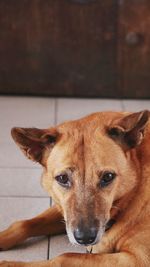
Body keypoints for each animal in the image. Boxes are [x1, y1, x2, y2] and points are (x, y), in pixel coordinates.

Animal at [0, 110, 150, 266]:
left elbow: (63, 257)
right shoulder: (64, 211)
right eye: (62, 178)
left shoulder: (136, 259)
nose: (85, 238)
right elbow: (23, 224)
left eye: (108, 176)